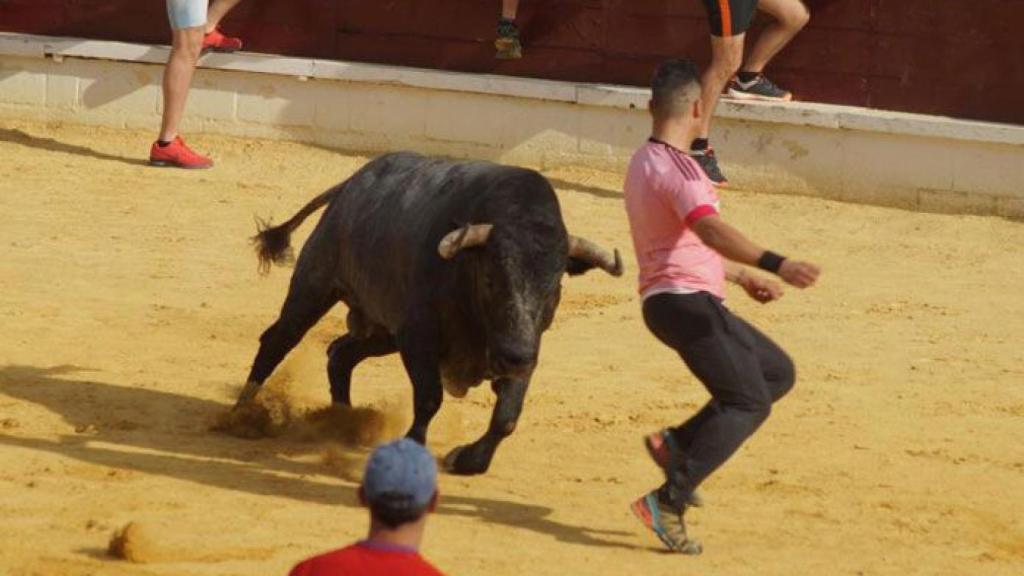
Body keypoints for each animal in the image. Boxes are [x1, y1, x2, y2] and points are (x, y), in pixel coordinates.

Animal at [237, 150, 622, 473]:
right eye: (491, 278)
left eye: (554, 285)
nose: (515, 358)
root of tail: (350, 185)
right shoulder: (419, 337)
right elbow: (428, 399)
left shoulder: (524, 345)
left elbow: (507, 416)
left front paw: (468, 460)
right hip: (315, 286)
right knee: (279, 339)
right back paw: (242, 412)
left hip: (383, 333)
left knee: (340, 353)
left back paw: (344, 421)